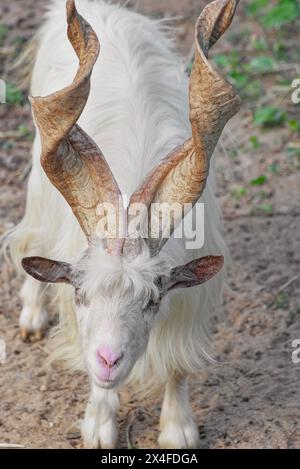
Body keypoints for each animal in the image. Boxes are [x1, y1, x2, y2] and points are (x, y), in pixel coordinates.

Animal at [5, 0, 241, 448]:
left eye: (152, 299)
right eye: (80, 294)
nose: (109, 360)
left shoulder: (189, 300)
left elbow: (177, 363)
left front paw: (177, 429)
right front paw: (98, 425)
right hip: (38, 185)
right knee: (32, 236)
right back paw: (32, 315)